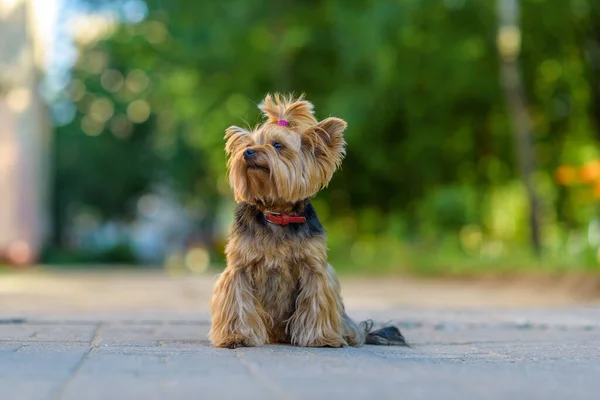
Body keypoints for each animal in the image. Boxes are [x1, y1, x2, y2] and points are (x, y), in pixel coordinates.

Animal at [209, 93, 406, 346]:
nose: (248, 153)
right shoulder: (239, 268)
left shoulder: (314, 269)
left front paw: (320, 338)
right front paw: (237, 336)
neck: (277, 214)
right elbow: (238, 302)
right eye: (248, 144)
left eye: (277, 145)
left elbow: (316, 300)